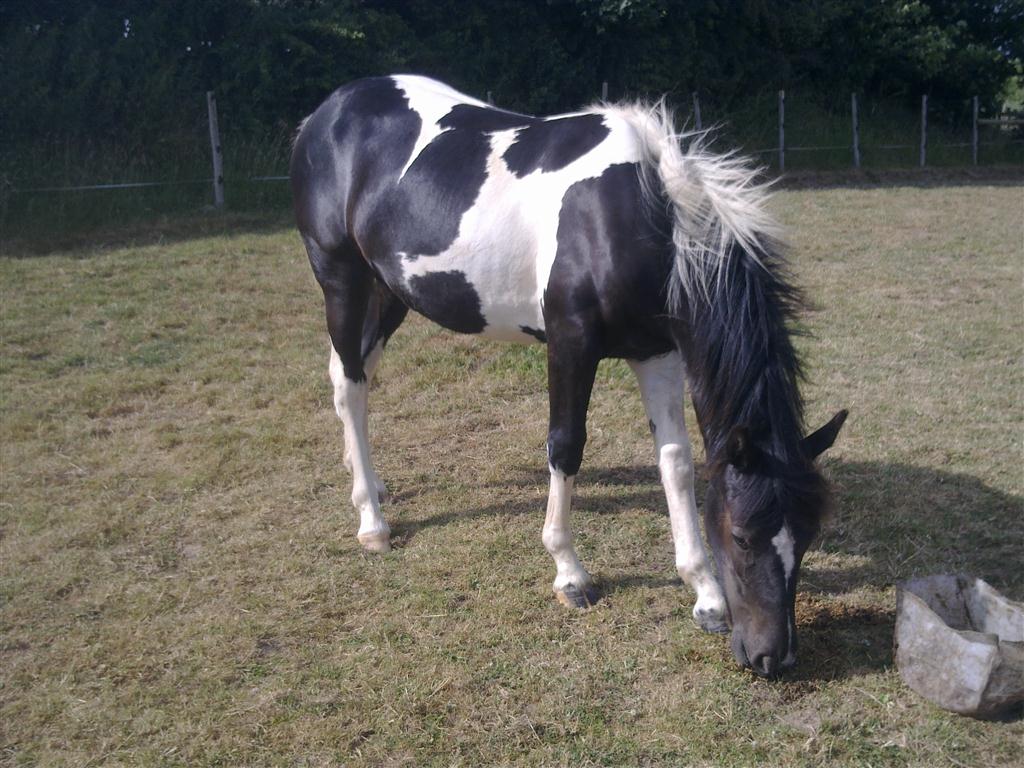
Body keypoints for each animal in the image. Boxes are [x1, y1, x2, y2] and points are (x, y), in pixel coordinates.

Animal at [290, 76, 847, 679]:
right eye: (743, 537)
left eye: (809, 534)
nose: (773, 657)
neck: (632, 215)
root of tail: (327, 112)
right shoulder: (570, 343)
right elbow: (566, 446)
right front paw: (569, 573)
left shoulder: (657, 352)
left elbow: (675, 462)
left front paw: (705, 595)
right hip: (342, 279)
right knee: (349, 383)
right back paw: (372, 521)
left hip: (389, 289)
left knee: (356, 376)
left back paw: (369, 482)